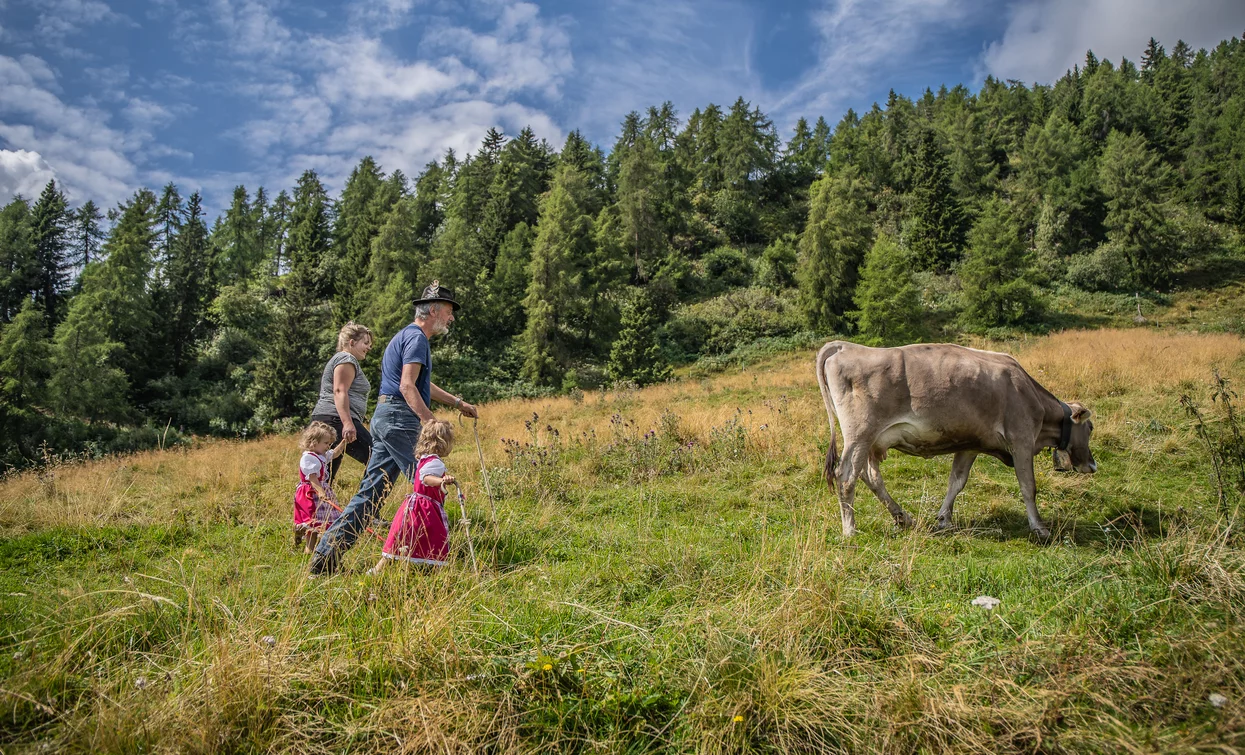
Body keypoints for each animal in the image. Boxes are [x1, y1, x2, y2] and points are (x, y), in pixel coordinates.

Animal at [816, 341, 1100, 540]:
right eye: (1091, 427)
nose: (1093, 465)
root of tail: (845, 346)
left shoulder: (970, 445)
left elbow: (957, 482)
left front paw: (944, 519)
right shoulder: (1021, 439)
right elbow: (1028, 486)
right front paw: (1040, 528)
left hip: (870, 441)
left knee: (870, 476)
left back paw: (903, 517)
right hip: (860, 434)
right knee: (847, 476)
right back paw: (850, 530)